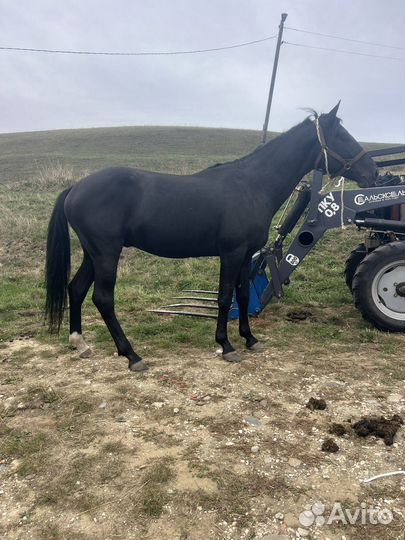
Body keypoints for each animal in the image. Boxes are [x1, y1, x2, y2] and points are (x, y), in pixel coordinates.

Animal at [45, 102, 378, 372]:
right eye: (343, 136)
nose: (373, 172)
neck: (252, 185)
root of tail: (75, 188)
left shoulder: (245, 255)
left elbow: (242, 296)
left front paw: (250, 338)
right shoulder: (231, 253)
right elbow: (224, 297)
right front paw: (226, 345)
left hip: (94, 254)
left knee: (76, 289)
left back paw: (81, 344)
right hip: (106, 253)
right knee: (103, 298)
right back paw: (132, 356)